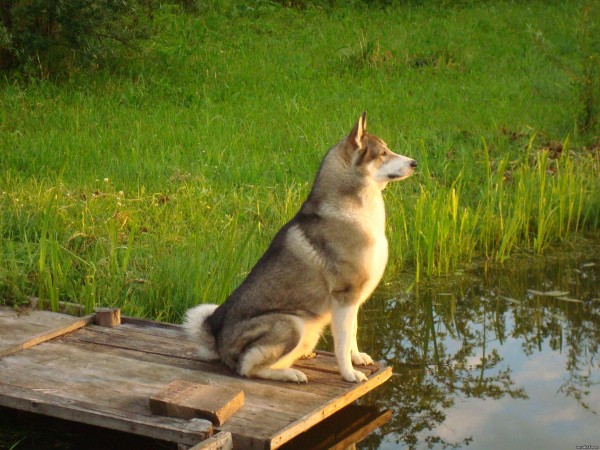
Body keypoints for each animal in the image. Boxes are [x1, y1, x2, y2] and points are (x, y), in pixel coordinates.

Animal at [184, 112, 418, 384]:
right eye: (383, 153)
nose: (415, 163)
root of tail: (217, 336)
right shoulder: (344, 296)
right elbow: (342, 344)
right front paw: (349, 373)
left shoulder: (354, 300)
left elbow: (353, 334)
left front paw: (357, 358)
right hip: (291, 323)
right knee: (248, 367)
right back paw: (291, 373)